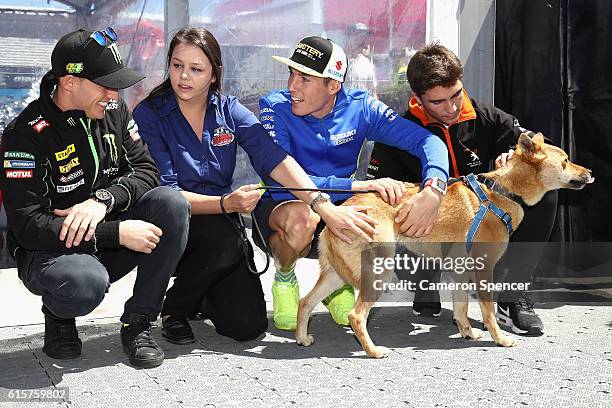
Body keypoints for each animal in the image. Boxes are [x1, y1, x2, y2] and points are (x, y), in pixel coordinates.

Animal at [296, 133, 592, 356]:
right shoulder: (483, 269)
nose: (589, 172)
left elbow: (461, 308)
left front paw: (467, 332)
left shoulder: (459, 270)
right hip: (378, 272)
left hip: (335, 275)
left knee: (305, 301)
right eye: (566, 161)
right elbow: (487, 310)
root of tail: (340, 213)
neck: (502, 193)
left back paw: (302, 337)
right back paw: (373, 351)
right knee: (356, 316)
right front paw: (500, 338)